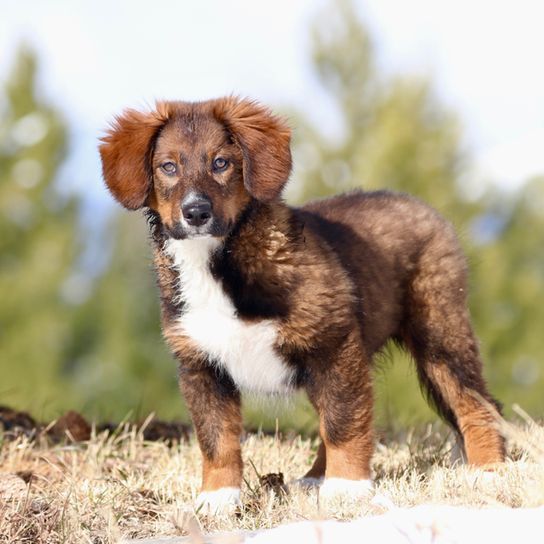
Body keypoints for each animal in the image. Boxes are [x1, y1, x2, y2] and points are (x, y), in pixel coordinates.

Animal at [99, 96, 506, 516]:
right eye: (168, 167)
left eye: (221, 163)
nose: (196, 213)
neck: (218, 261)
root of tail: (422, 206)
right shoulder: (201, 365)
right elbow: (217, 440)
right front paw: (216, 499)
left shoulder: (333, 345)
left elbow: (343, 422)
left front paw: (346, 489)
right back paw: (314, 479)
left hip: (439, 332)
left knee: (475, 403)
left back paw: (487, 473)